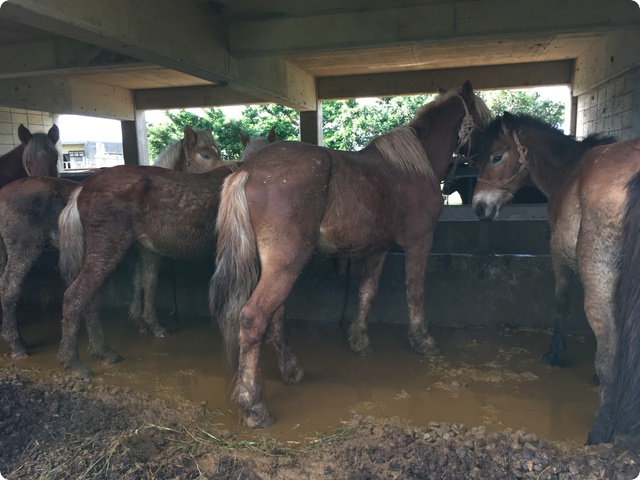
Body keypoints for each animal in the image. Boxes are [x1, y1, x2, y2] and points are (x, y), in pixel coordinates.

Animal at [0, 126, 222, 359]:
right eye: (205, 155)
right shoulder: (150, 252)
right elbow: (150, 284)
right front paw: (153, 325)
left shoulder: (140, 252)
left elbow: (140, 282)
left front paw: (140, 322)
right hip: (25, 249)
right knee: (10, 289)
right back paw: (17, 345)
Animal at [56, 131, 276, 376]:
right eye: (205, 154)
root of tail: (82, 189)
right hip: (105, 252)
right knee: (75, 297)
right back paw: (74, 363)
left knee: (92, 301)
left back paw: (104, 352)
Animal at [209, 81, 493, 428]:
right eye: (484, 124)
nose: (487, 161)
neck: (413, 166)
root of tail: (248, 170)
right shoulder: (419, 242)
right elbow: (415, 293)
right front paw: (423, 341)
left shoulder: (378, 248)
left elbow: (366, 292)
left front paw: (359, 340)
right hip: (286, 263)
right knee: (253, 318)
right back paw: (254, 406)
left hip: (274, 266)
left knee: (275, 315)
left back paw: (292, 370)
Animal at [471, 112, 640, 445]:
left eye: (496, 156)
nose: (478, 207)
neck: (568, 171)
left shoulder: (559, 258)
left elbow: (561, 302)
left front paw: (554, 353)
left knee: (610, 353)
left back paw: (600, 431)